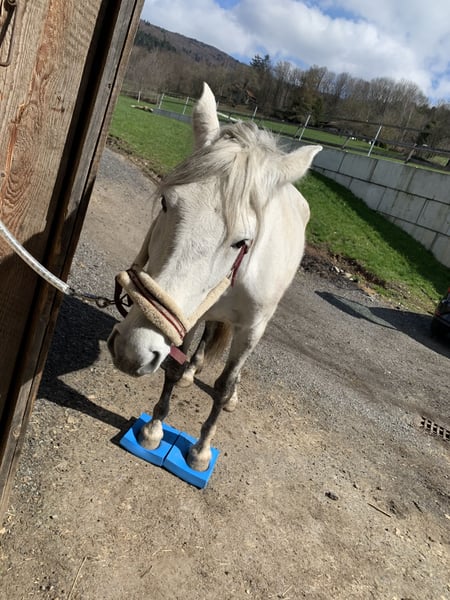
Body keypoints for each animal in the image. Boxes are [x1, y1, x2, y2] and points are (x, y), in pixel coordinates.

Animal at [107, 83, 321, 472]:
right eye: (166, 203)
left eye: (243, 241)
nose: (133, 351)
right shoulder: (186, 313)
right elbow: (172, 367)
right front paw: (153, 431)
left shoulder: (250, 328)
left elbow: (222, 387)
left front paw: (201, 451)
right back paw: (192, 370)